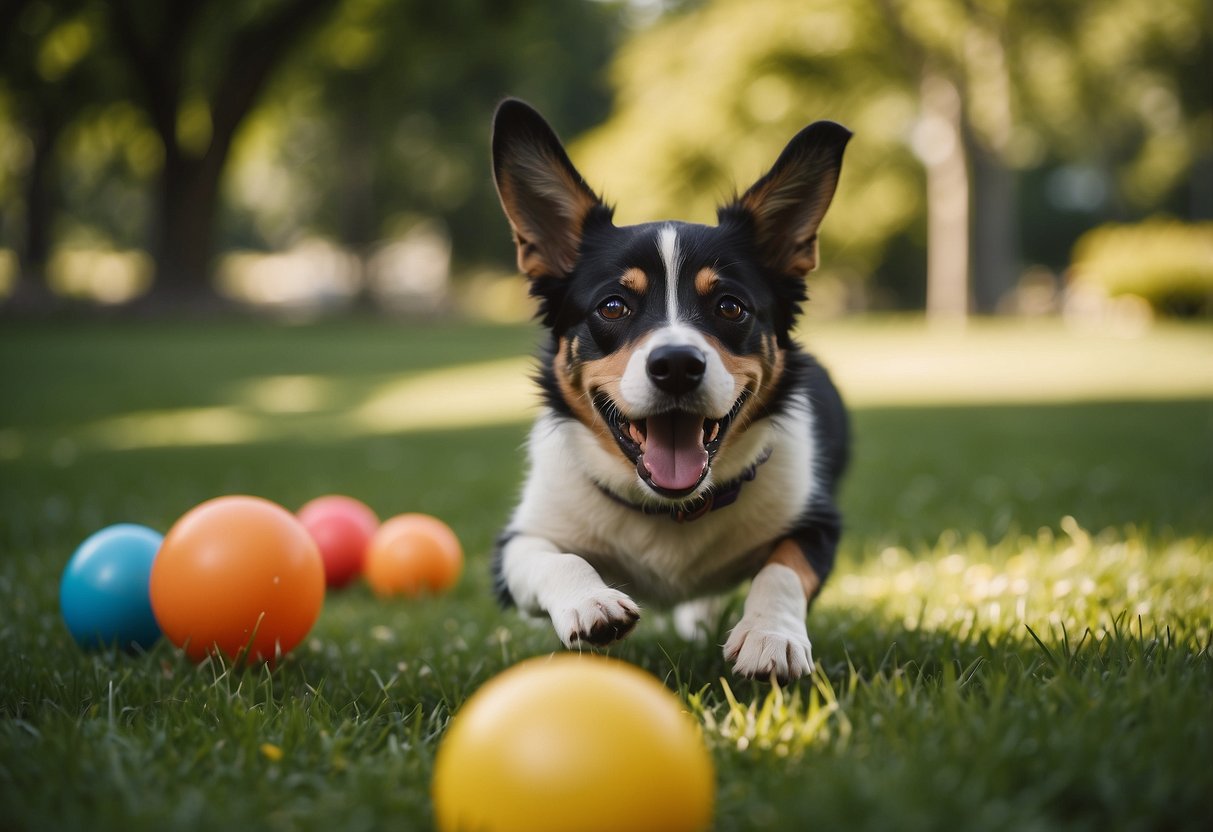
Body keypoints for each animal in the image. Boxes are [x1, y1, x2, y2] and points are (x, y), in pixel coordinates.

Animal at [487, 99, 849, 684]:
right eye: (613, 306)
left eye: (730, 306)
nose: (677, 365)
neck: (668, 509)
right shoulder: (515, 546)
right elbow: (556, 558)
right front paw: (590, 602)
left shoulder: (818, 524)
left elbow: (783, 569)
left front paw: (771, 636)